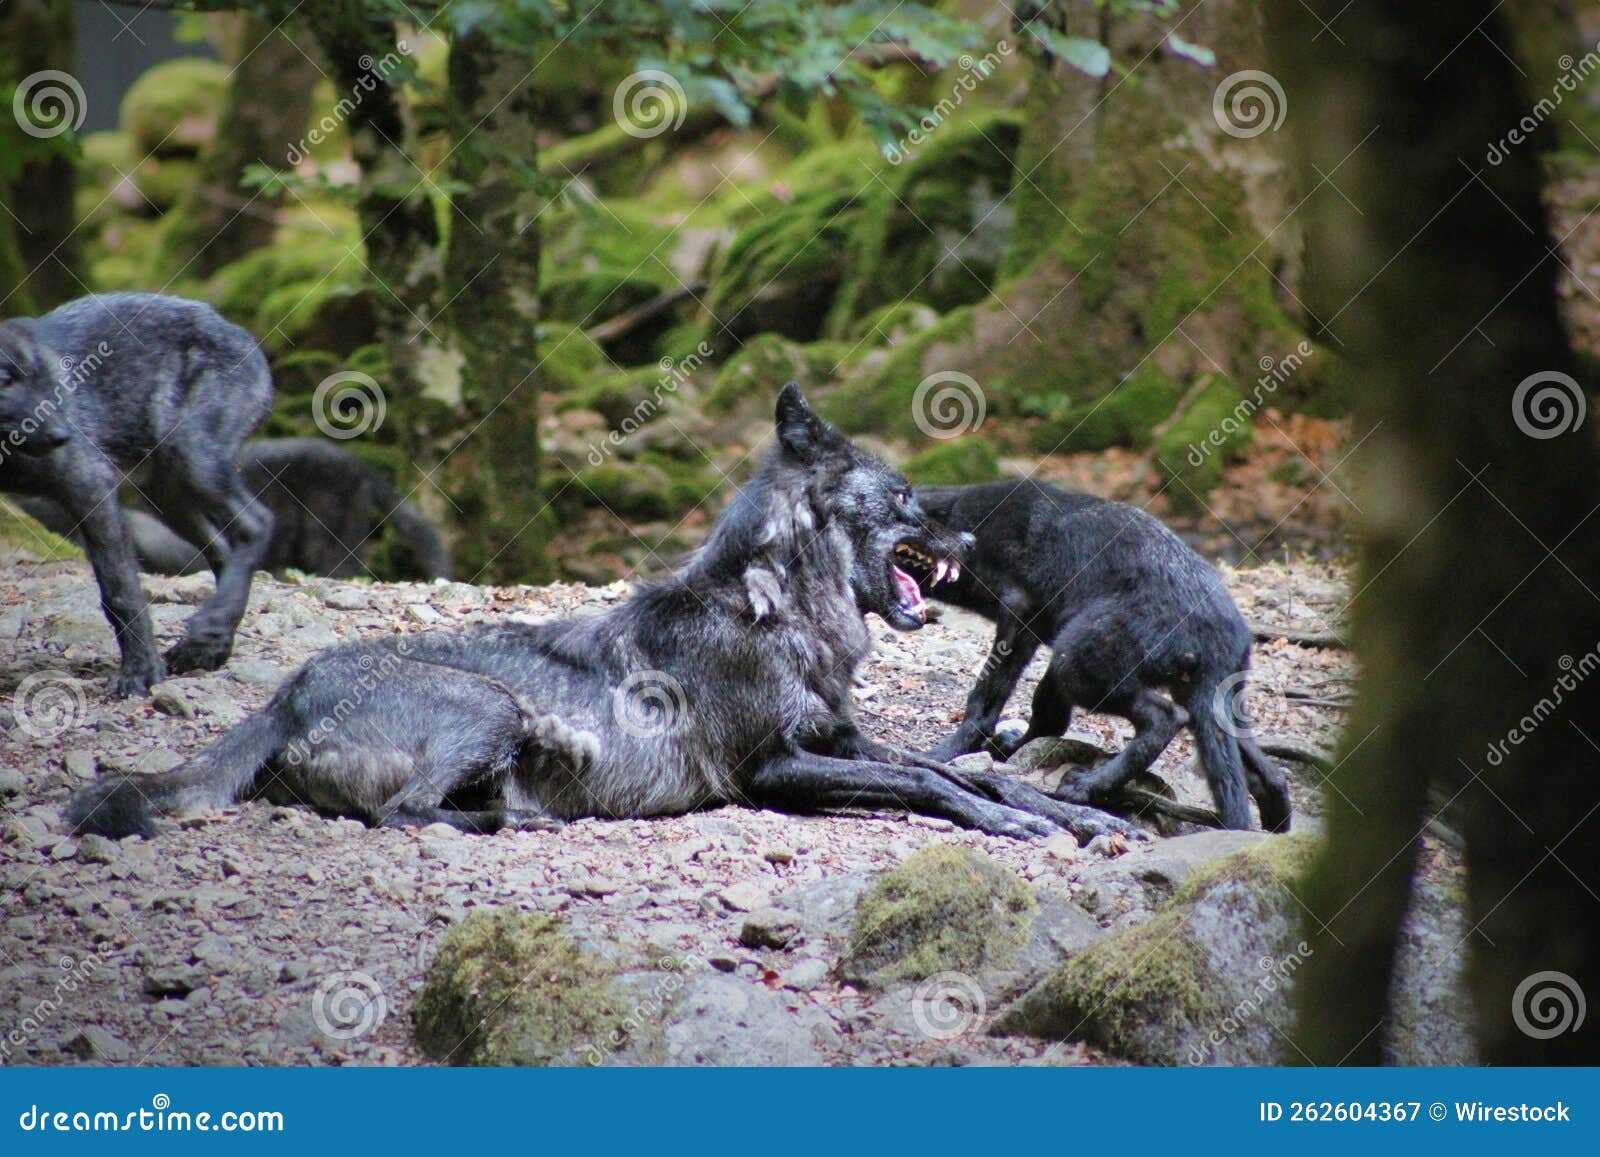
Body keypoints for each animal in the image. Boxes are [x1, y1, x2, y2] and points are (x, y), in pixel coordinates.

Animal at [0, 293, 273, 696]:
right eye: (6, 378)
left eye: (53, 378)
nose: (64, 433)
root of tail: (236, 329)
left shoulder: (90, 483)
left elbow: (121, 590)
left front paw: (140, 672)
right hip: (167, 496)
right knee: (224, 549)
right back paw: (208, 648)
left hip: (191, 461)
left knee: (257, 524)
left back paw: (210, 627)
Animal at [68, 386, 1144, 844]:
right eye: (912, 496)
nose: (970, 534)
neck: (775, 612)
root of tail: (287, 691)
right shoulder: (775, 769)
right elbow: (933, 784)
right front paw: (1019, 822)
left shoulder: (842, 738)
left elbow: (954, 768)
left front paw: (1072, 811)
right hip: (491, 707)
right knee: (401, 812)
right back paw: (511, 822)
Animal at [909, 480, 1291, 832]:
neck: (965, 518)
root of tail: (1222, 631)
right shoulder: (1035, 636)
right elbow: (1044, 715)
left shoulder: (1018, 612)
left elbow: (986, 697)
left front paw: (944, 753)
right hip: (1188, 695)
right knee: (1267, 773)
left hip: (1077, 665)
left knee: (1165, 718)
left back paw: (1086, 786)